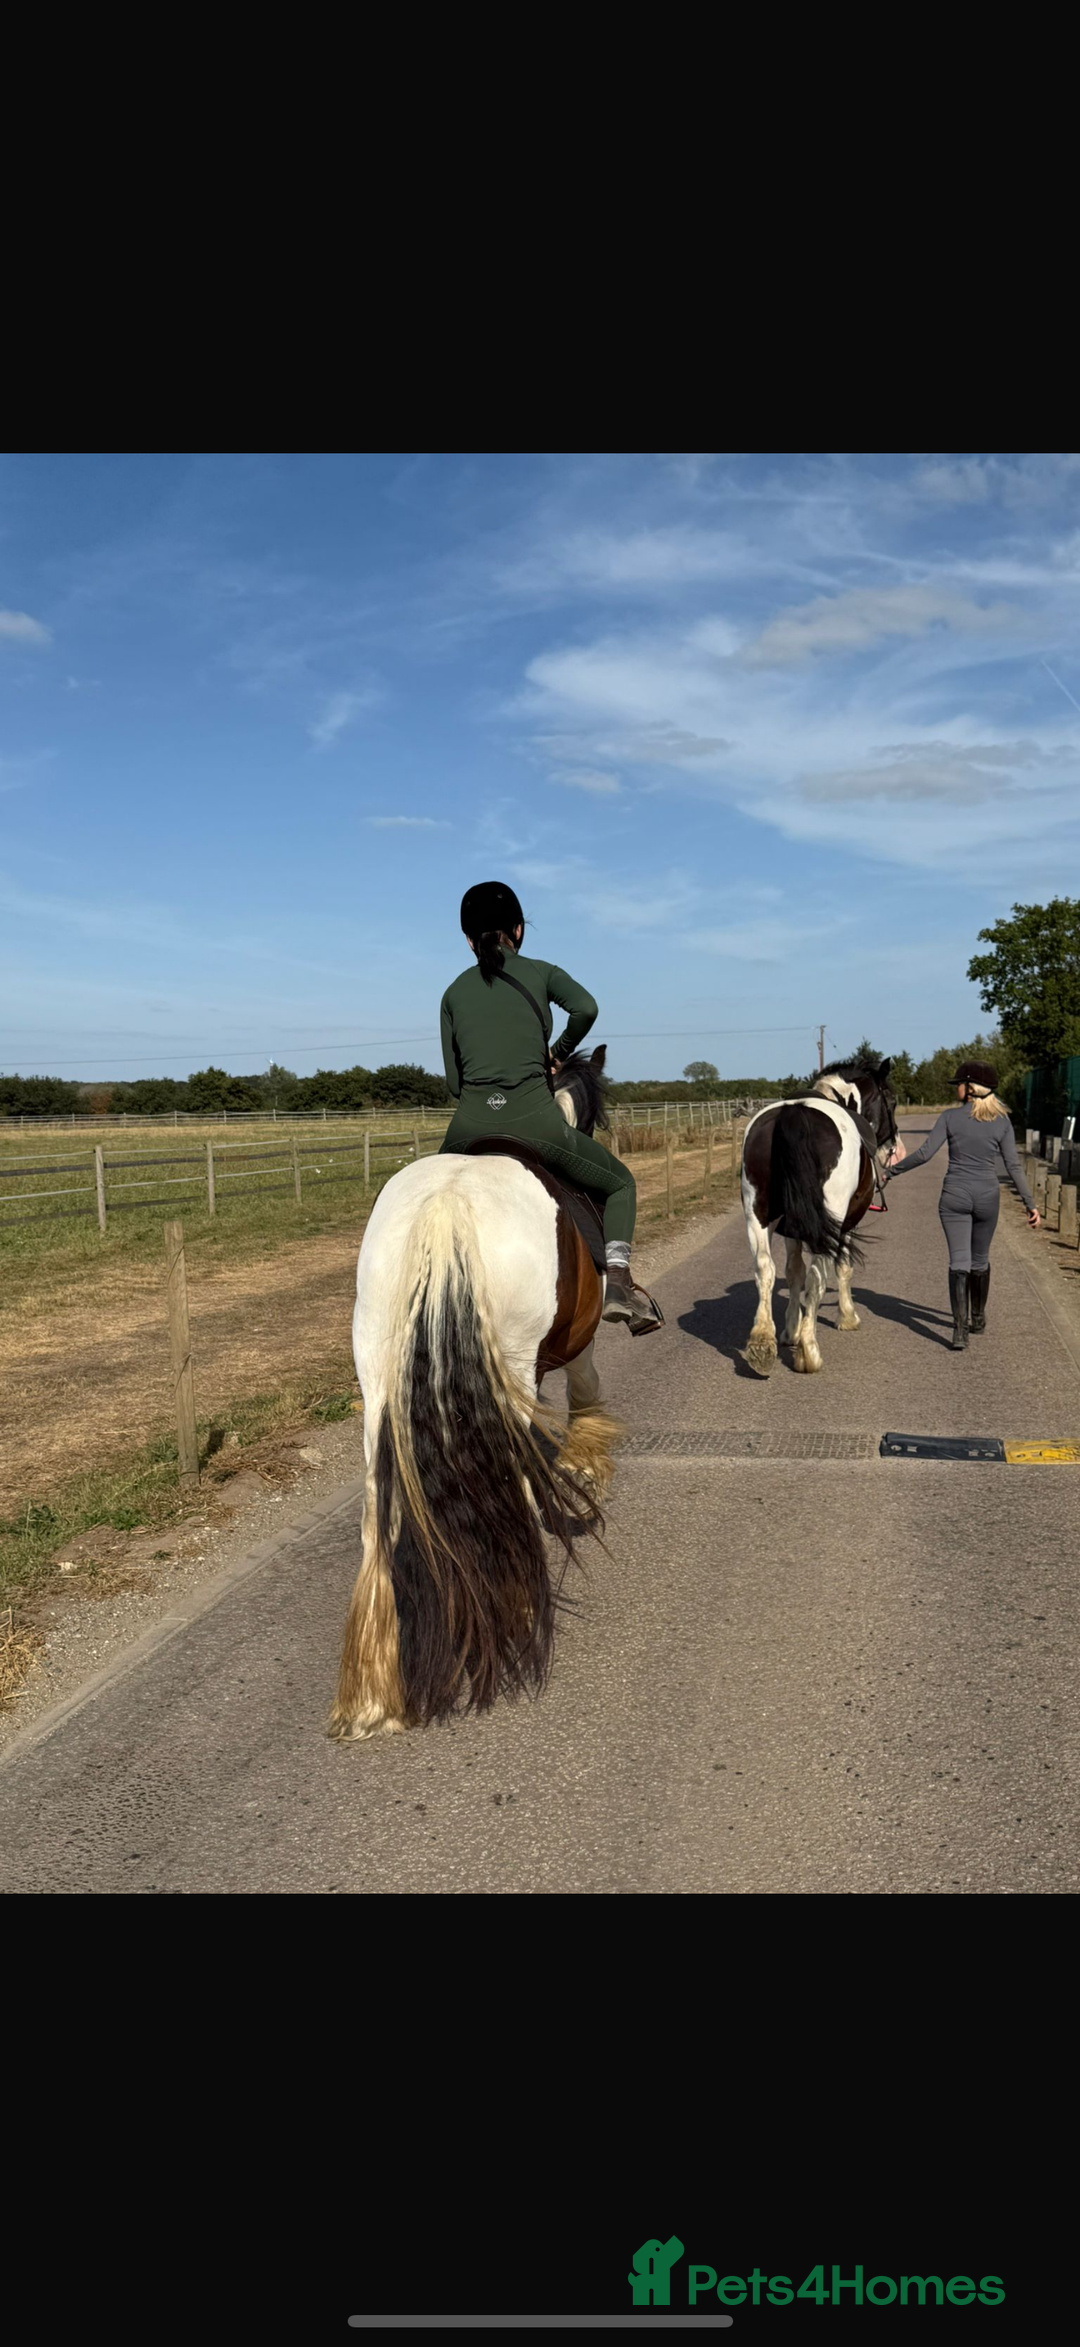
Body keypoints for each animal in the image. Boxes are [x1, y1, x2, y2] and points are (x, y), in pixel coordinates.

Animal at [328, 1044, 622, 1741]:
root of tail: (447, 1205)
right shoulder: (578, 1341)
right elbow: (586, 1393)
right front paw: (586, 1467)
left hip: (377, 1384)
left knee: (375, 1520)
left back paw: (373, 1686)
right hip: (507, 1367)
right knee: (511, 1479)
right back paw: (519, 1603)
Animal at [739, 1058, 900, 1377]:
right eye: (892, 1100)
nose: (894, 1148)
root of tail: (793, 1114)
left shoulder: (793, 1228)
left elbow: (793, 1272)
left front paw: (790, 1331)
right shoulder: (844, 1225)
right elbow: (841, 1269)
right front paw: (846, 1317)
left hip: (757, 1215)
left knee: (765, 1268)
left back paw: (762, 1344)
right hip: (830, 1222)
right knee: (817, 1277)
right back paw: (808, 1352)